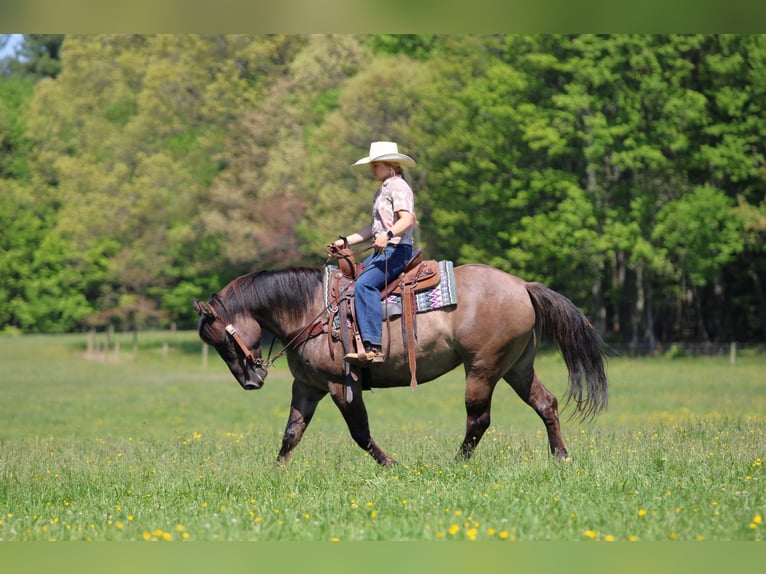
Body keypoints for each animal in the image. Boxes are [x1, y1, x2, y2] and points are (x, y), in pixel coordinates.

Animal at [192, 263, 608, 467]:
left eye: (220, 339)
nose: (251, 381)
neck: (312, 310)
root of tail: (522, 286)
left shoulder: (341, 385)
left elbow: (360, 432)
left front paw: (391, 465)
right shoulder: (307, 387)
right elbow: (292, 432)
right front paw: (277, 472)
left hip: (483, 368)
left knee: (479, 419)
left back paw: (456, 464)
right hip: (517, 367)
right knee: (546, 404)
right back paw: (561, 458)